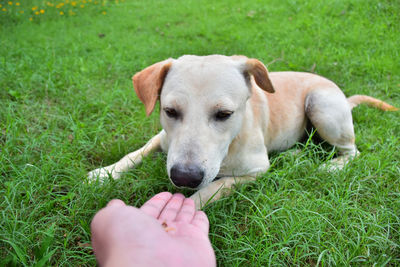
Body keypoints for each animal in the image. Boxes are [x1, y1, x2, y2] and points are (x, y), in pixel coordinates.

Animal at [87, 54, 396, 209]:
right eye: (170, 111)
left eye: (224, 114)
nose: (184, 177)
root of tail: (342, 95)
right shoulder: (162, 140)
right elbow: (135, 153)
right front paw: (105, 173)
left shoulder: (253, 171)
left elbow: (214, 187)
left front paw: (187, 207)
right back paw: (294, 155)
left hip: (321, 106)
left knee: (352, 151)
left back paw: (332, 166)